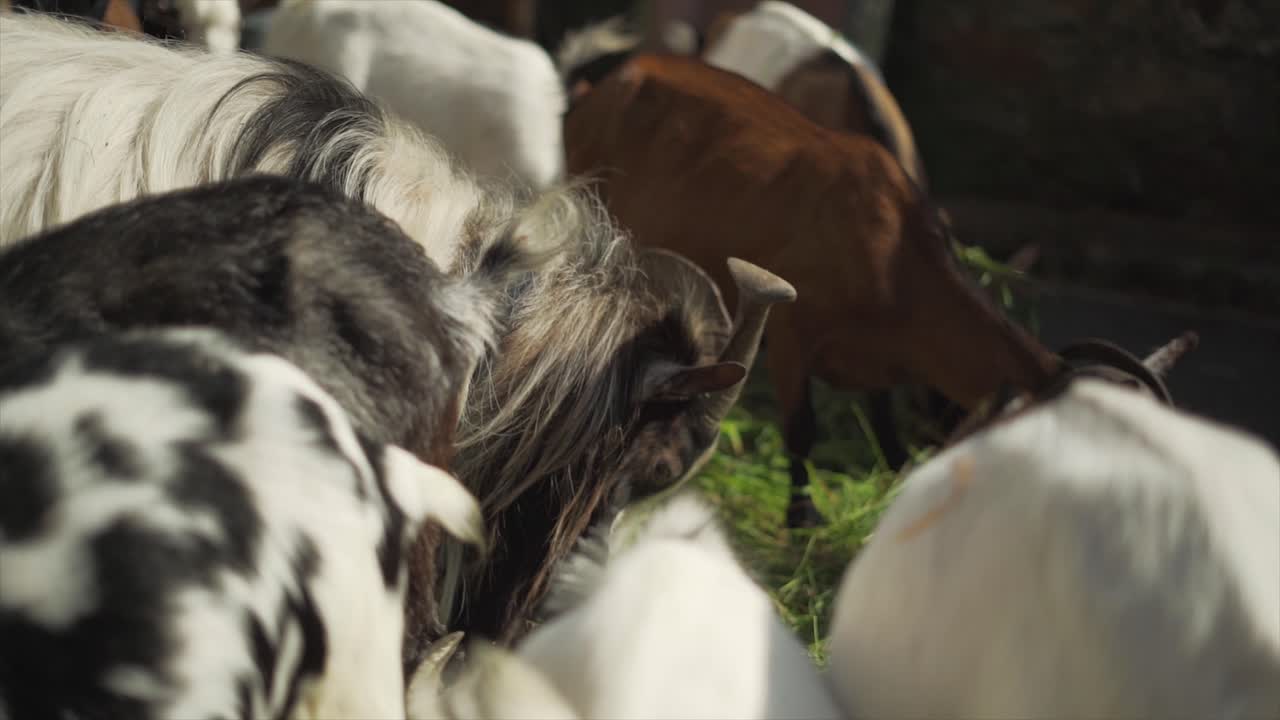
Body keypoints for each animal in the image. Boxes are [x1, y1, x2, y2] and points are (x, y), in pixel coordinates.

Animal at [563, 53, 1063, 527]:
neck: (897, 257)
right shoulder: (790, 333)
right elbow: (802, 427)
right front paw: (802, 513)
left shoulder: (877, 357)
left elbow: (882, 415)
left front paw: (899, 469)